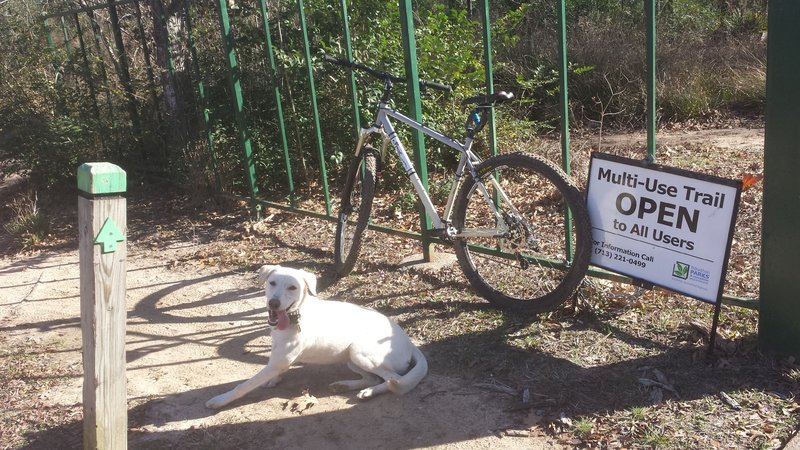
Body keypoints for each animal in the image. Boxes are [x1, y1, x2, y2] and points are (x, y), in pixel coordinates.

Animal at [208, 264, 432, 408]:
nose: (273, 303)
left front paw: (220, 400)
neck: (297, 314)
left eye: (293, 287)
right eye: (272, 283)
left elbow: (243, 386)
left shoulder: (279, 360)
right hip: (350, 358)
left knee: (394, 379)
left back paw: (369, 393)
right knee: (372, 378)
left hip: (360, 352)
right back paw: (345, 385)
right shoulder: (278, 356)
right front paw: (273, 380)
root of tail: (410, 343)